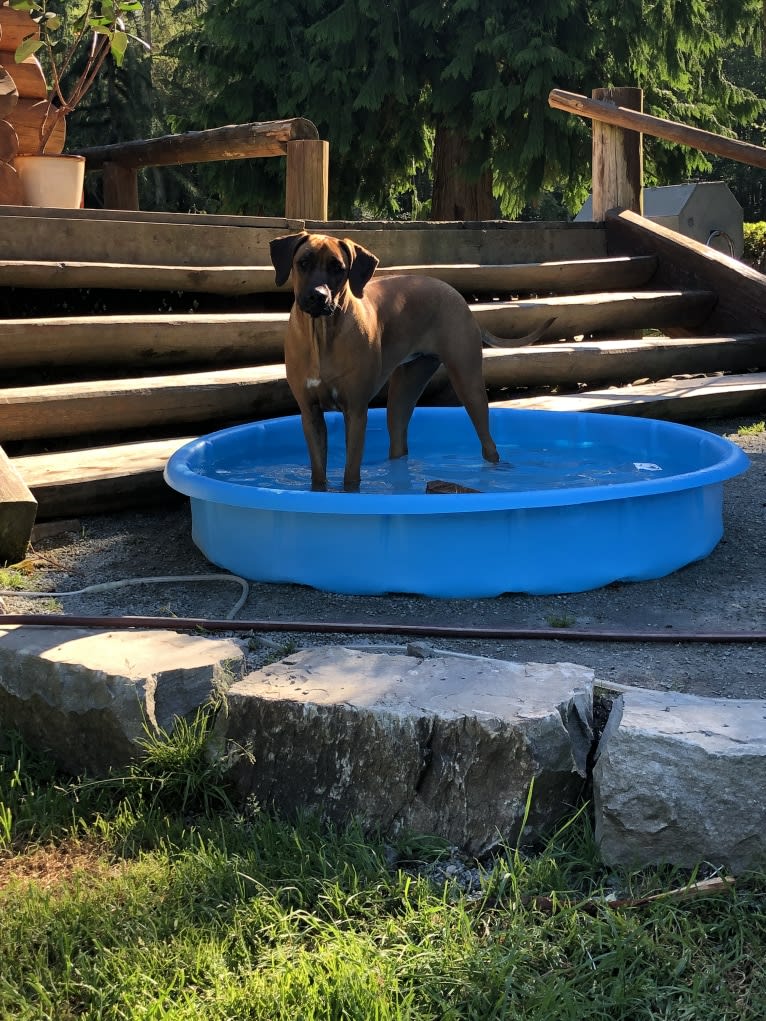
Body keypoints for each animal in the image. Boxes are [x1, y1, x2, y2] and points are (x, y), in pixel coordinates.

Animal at [269, 233, 522, 494]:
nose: (318, 296)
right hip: (405, 389)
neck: (321, 335)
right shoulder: (310, 413)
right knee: (399, 438)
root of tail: (452, 291)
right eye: (303, 263)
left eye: (338, 268)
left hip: (468, 382)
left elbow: (351, 474)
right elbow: (318, 474)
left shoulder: (356, 411)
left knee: (488, 442)